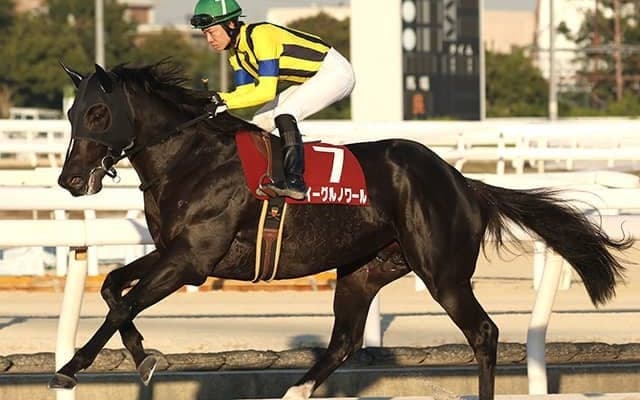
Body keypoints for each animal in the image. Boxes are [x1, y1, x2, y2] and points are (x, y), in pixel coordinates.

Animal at [51, 61, 632, 400]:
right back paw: (295, 392)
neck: (190, 156)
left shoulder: (193, 258)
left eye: (99, 112)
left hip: (442, 271)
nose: (70, 180)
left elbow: (123, 303)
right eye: (72, 111)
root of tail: (462, 181)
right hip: (363, 270)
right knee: (346, 341)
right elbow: (112, 289)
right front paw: (145, 357)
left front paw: (73, 366)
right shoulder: (175, 252)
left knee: (483, 333)